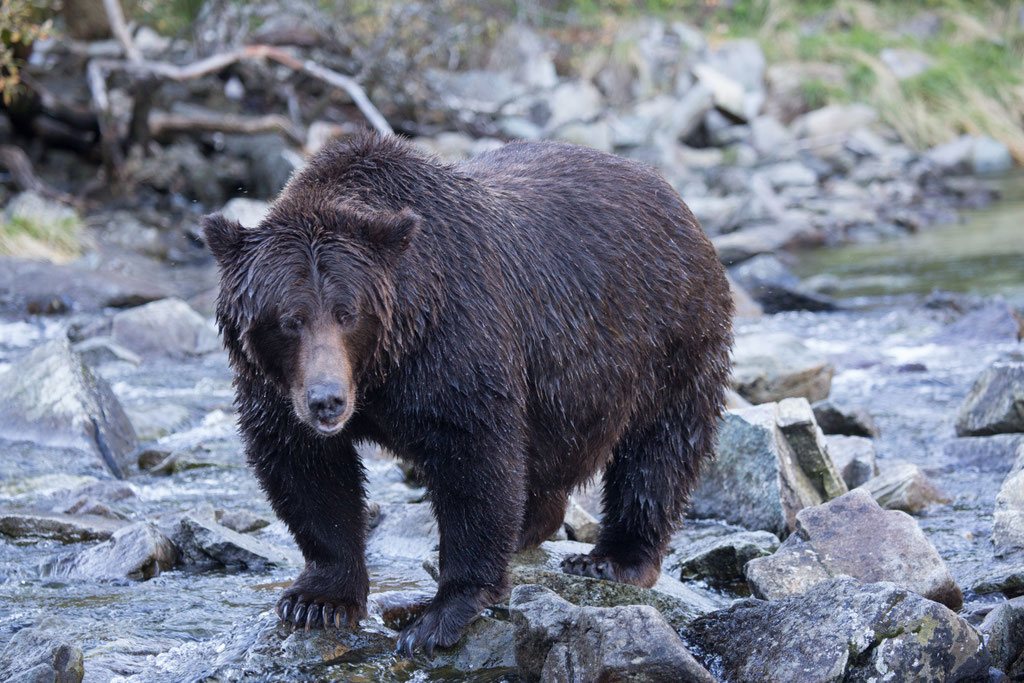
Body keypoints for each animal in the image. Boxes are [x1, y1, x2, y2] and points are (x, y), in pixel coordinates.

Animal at [201, 130, 733, 656]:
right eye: (289, 320)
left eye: (347, 313)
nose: (327, 400)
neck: (383, 367)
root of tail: (670, 194)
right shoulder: (277, 389)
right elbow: (306, 469)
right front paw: (318, 601)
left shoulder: (453, 344)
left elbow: (473, 459)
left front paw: (440, 616)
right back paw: (530, 525)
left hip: (665, 335)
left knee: (658, 450)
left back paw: (612, 558)